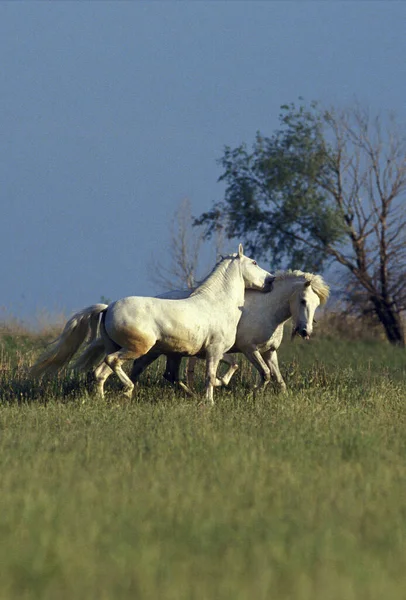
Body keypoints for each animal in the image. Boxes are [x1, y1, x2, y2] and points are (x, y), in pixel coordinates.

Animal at [32, 246, 272, 406]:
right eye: (254, 263)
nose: (271, 280)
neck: (217, 304)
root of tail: (108, 308)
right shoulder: (214, 350)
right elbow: (210, 376)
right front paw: (209, 402)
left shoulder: (210, 351)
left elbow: (232, 366)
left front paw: (221, 384)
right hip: (138, 348)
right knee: (112, 362)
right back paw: (127, 390)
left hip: (118, 347)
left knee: (100, 371)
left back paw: (102, 400)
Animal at [130, 270, 330, 392]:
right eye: (303, 300)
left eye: (316, 304)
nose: (305, 331)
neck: (266, 309)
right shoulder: (249, 349)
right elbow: (264, 373)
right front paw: (253, 394)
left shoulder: (269, 352)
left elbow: (278, 380)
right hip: (157, 351)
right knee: (141, 367)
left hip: (173, 353)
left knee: (165, 374)